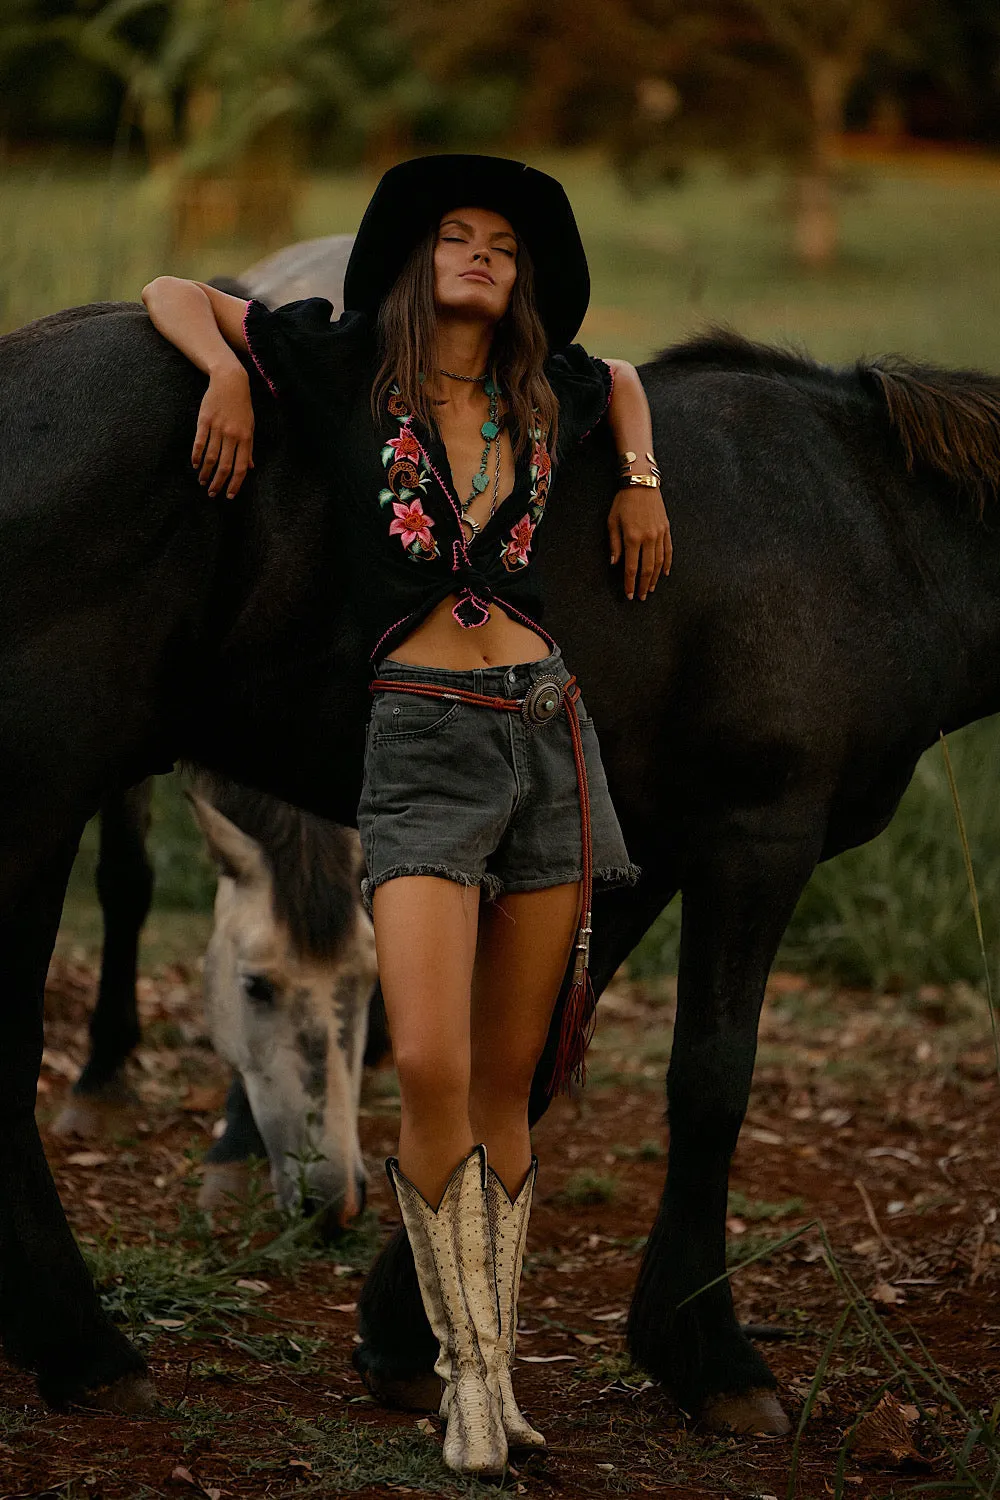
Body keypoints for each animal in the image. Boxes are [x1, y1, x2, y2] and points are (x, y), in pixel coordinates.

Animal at [1, 301, 1000, 1428]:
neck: (873, 526)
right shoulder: (757, 842)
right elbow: (710, 1082)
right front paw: (714, 1358)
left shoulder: (632, 853)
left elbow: (522, 1072)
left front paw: (405, 1334)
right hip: (37, 802)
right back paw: (83, 1345)